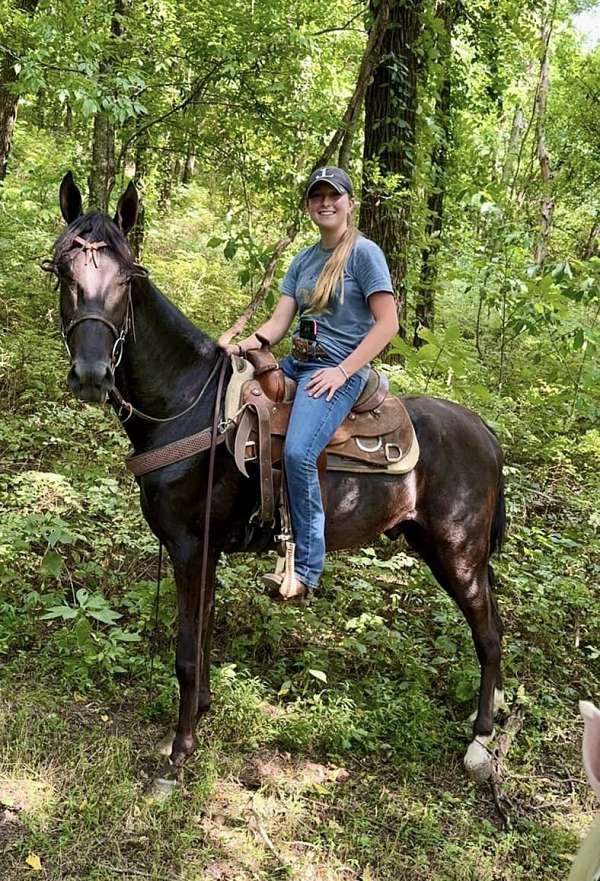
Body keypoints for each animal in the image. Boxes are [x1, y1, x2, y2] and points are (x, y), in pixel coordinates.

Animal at [48, 175, 506, 780]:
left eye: (126, 280)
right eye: (64, 273)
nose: (92, 375)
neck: (186, 406)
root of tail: (485, 433)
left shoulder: (191, 546)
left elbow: (186, 651)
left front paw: (179, 753)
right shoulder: (206, 551)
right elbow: (203, 638)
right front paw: (200, 717)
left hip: (459, 552)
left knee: (489, 635)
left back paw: (480, 740)